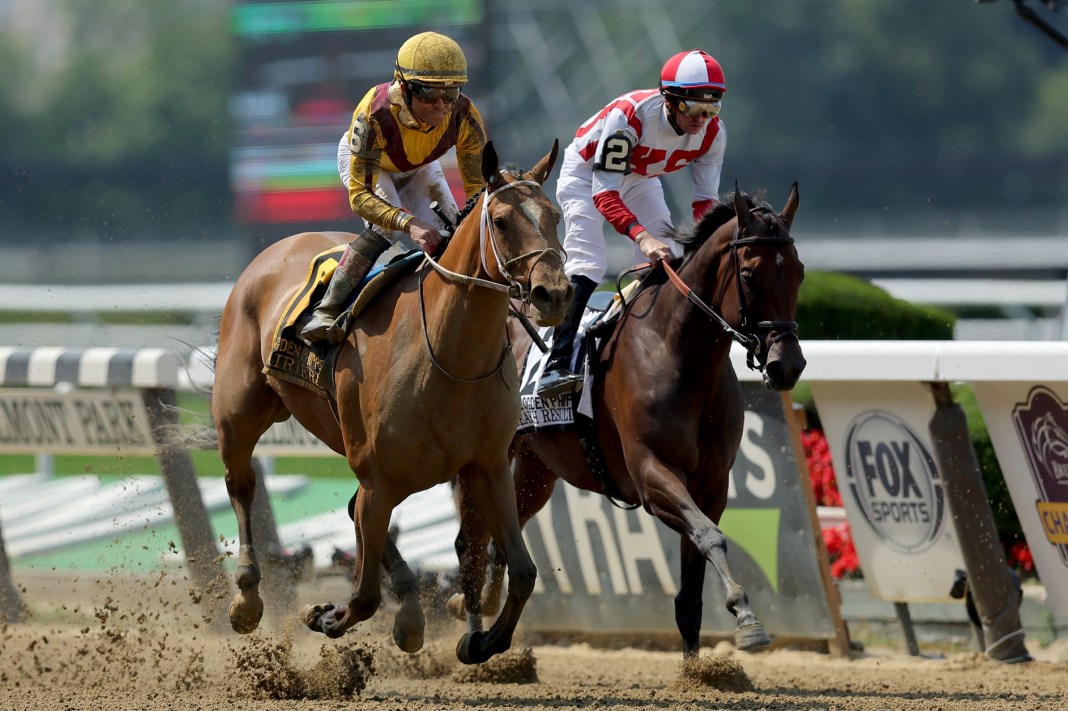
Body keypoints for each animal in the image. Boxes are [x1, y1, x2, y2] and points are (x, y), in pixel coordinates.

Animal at [211, 140, 573, 665]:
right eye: (502, 221)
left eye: (555, 216)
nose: (555, 294)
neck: (446, 355)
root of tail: (275, 250)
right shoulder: (380, 478)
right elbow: (363, 595)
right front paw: (323, 615)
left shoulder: (487, 466)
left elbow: (523, 571)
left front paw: (479, 640)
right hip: (238, 413)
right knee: (240, 484)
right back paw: (247, 597)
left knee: (351, 509)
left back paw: (410, 612)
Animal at [453, 184, 806, 657]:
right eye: (749, 274)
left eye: (799, 272)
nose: (788, 365)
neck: (677, 352)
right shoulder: (652, 474)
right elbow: (711, 536)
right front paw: (747, 617)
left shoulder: (712, 484)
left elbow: (691, 592)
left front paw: (704, 667)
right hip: (485, 453)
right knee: (469, 542)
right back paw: (475, 633)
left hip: (537, 467)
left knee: (500, 535)